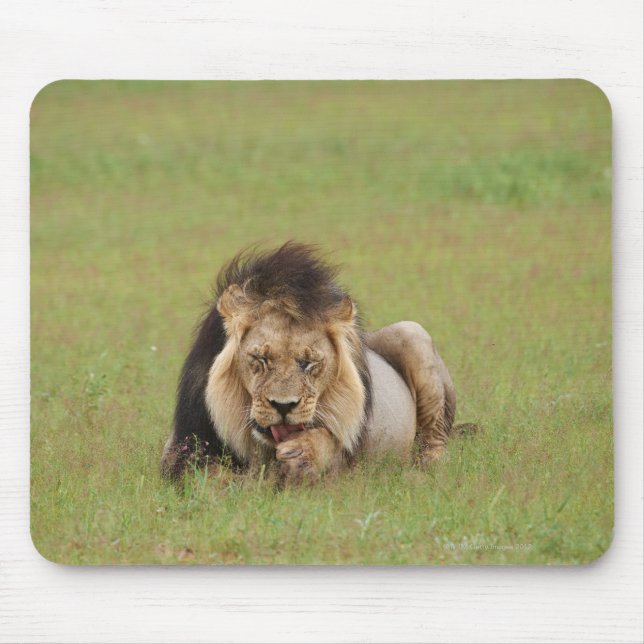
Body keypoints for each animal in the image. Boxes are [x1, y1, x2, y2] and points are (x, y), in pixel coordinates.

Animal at [161, 242, 457, 484]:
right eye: (260, 359)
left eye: (309, 363)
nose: (283, 406)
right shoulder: (184, 443)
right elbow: (206, 478)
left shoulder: (351, 462)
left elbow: (330, 446)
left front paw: (302, 455)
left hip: (412, 332)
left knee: (436, 441)